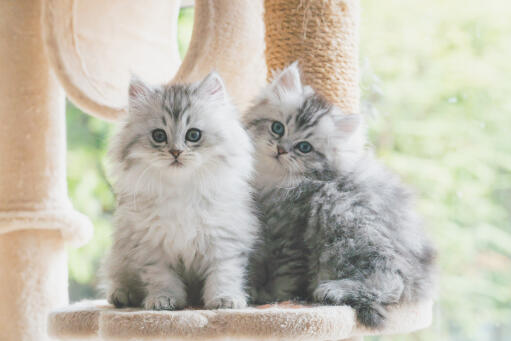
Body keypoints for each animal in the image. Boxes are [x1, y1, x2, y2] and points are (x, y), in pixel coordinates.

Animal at [102, 73, 258, 310]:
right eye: (159, 136)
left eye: (193, 135)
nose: (175, 152)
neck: (181, 189)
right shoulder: (152, 247)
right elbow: (162, 278)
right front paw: (163, 300)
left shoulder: (223, 242)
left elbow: (223, 275)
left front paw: (224, 300)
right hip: (119, 257)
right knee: (118, 279)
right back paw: (122, 295)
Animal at [247, 63, 436, 326]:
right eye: (277, 128)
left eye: (304, 147)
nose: (281, 150)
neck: (275, 179)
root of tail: (422, 275)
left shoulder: (290, 238)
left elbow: (284, 280)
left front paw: (270, 300)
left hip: (345, 216)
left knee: (392, 283)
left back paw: (332, 290)